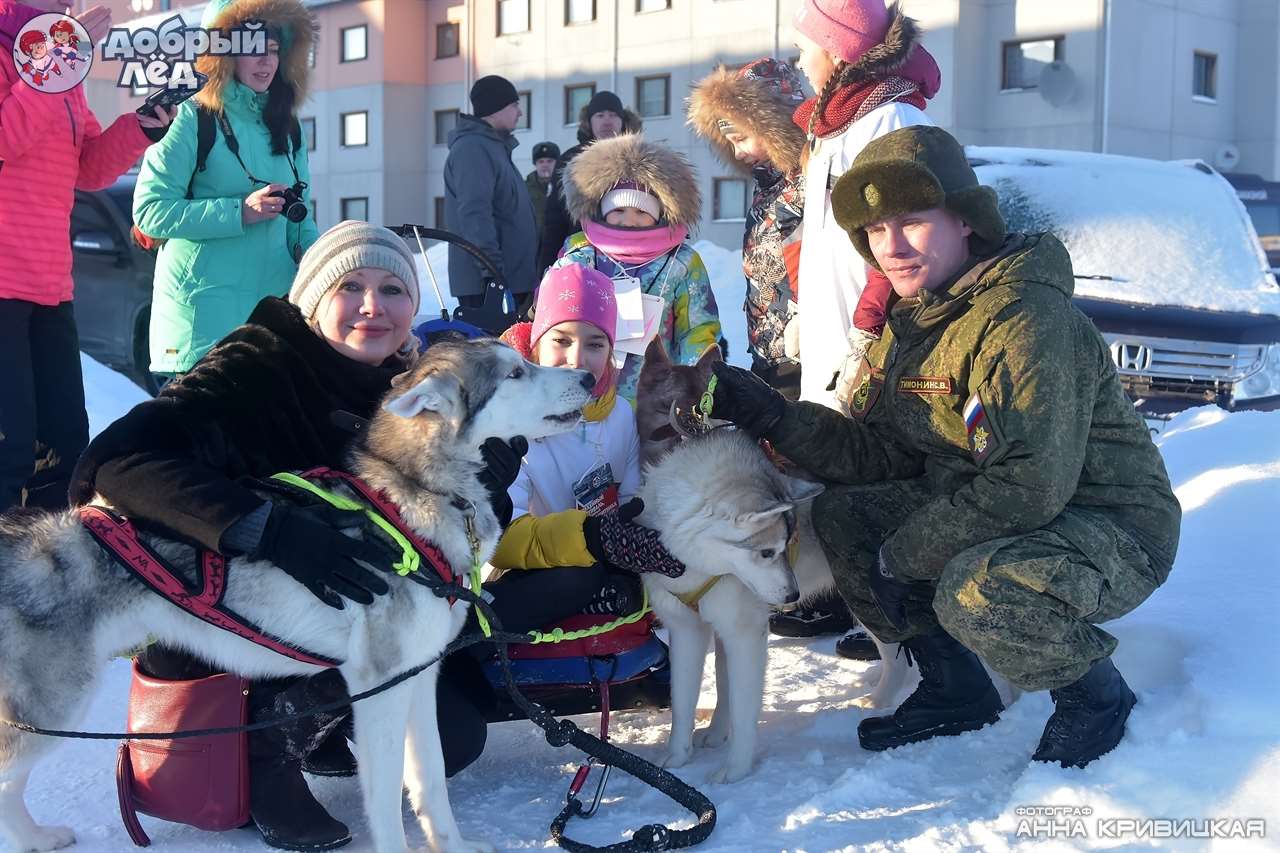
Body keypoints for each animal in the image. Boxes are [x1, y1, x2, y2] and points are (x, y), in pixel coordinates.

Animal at [0, 338, 593, 850]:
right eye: (515, 373)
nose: (588, 376)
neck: (419, 495)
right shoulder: (377, 688)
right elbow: (385, 803)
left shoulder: (417, 678)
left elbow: (430, 786)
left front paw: (454, 846)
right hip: (51, 707)